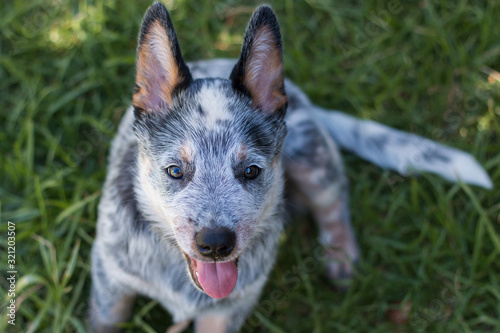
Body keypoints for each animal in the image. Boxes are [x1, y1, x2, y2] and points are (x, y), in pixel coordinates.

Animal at [90, 3, 492, 332]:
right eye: (175, 171)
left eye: (251, 171)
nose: (216, 244)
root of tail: (299, 98)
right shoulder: (109, 280)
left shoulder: (228, 310)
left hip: (311, 157)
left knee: (334, 198)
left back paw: (340, 257)